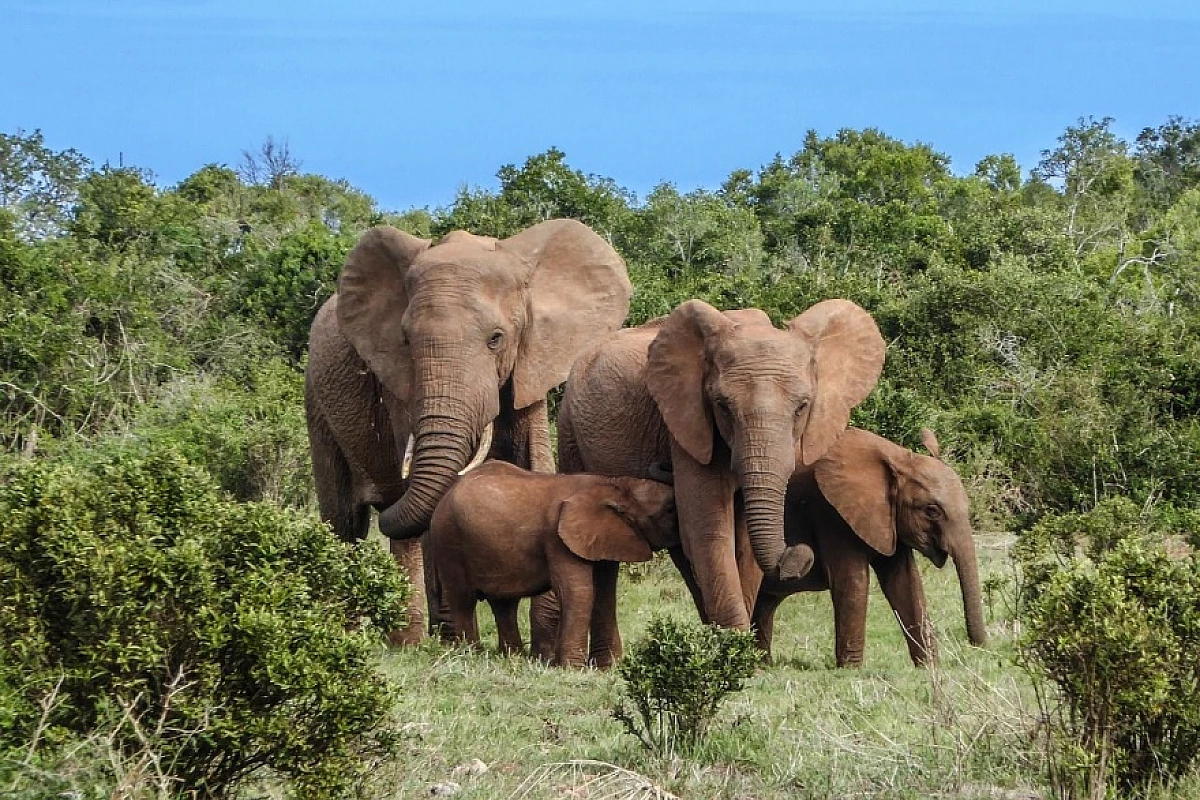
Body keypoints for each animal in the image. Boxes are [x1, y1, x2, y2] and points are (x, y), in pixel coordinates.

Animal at [304, 219, 633, 642]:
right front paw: (456, 638)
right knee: (345, 522)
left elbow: (536, 463)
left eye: (496, 339)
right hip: (316, 400)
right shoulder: (399, 383)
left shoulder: (531, 363)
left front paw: (543, 642)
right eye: (406, 340)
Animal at [429, 460, 676, 666]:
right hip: (448, 540)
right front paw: (573, 669)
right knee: (463, 600)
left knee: (504, 604)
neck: (614, 484)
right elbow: (577, 592)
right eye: (669, 508)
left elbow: (604, 594)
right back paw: (471, 654)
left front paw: (608, 667)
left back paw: (512, 658)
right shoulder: (557, 538)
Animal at [556, 297, 888, 642]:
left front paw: (735, 647)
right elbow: (710, 531)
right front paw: (734, 646)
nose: (798, 554)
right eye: (722, 406)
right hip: (569, 431)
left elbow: (743, 544)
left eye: (802, 407)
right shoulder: (688, 424)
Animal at [753, 429, 988, 666]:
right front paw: (850, 670)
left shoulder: (889, 521)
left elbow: (905, 582)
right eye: (932, 511)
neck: (899, 458)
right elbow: (852, 581)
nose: (977, 646)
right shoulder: (830, 513)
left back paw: (763, 664)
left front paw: (930, 667)